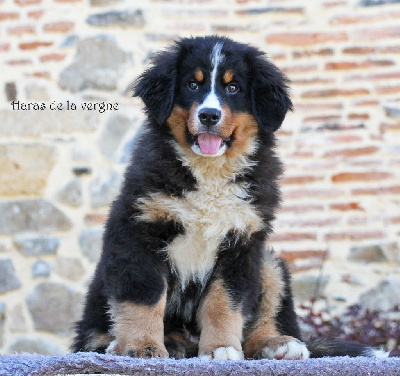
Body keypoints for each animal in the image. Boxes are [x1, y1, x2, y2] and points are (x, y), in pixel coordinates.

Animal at [71, 36, 388, 362]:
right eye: (192, 85)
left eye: (233, 87)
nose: (209, 116)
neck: (209, 171)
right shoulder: (139, 230)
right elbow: (143, 298)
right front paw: (142, 346)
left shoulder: (242, 244)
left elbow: (225, 304)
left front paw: (220, 349)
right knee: (93, 334)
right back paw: (130, 343)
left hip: (268, 264)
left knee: (264, 317)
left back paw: (278, 344)